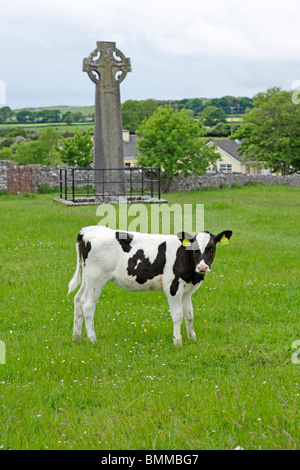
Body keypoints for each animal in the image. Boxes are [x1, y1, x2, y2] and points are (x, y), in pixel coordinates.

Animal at [68, 226, 232, 346]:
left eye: (211, 248)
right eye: (195, 249)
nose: (202, 267)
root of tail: (87, 230)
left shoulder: (186, 291)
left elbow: (189, 315)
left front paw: (193, 339)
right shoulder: (172, 287)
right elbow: (178, 315)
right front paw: (177, 342)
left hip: (88, 277)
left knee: (78, 299)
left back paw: (77, 337)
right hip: (97, 277)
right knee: (88, 304)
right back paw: (92, 339)